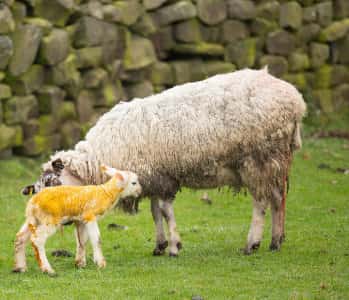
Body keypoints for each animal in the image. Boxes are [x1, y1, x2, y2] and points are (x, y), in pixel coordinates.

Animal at [13, 165, 141, 276]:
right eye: (134, 183)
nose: (139, 191)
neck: (105, 193)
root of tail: (33, 202)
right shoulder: (90, 216)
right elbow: (96, 239)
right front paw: (101, 263)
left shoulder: (81, 220)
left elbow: (82, 241)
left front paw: (80, 263)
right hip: (49, 219)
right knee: (37, 239)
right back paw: (47, 269)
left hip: (33, 219)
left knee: (20, 237)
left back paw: (20, 268)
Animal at [22, 68, 304, 255]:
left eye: (53, 184)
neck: (102, 156)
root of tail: (295, 99)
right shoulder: (151, 178)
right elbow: (155, 212)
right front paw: (160, 245)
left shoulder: (164, 178)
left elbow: (166, 211)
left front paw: (174, 246)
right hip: (277, 161)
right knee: (278, 198)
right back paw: (276, 240)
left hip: (258, 159)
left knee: (261, 202)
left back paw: (252, 243)